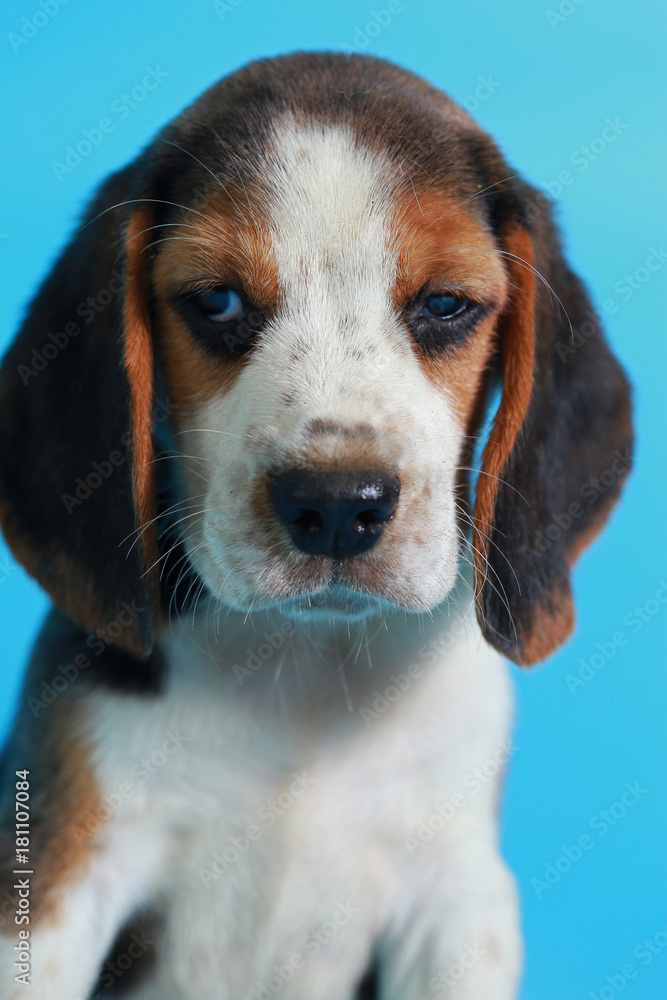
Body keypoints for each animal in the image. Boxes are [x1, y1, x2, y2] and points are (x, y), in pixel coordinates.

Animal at [0, 52, 632, 1000]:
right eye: (217, 301)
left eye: (445, 304)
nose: (337, 506)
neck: (303, 669)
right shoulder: (58, 880)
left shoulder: (458, 900)